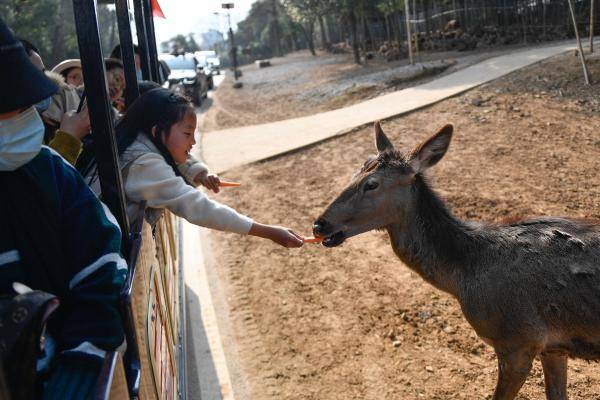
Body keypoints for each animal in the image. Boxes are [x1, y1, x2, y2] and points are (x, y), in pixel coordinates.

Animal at [312, 122, 600, 400]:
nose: (319, 224)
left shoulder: (519, 340)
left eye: (372, 184)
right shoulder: (553, 346)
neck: (464, 272)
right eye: (354, 173)